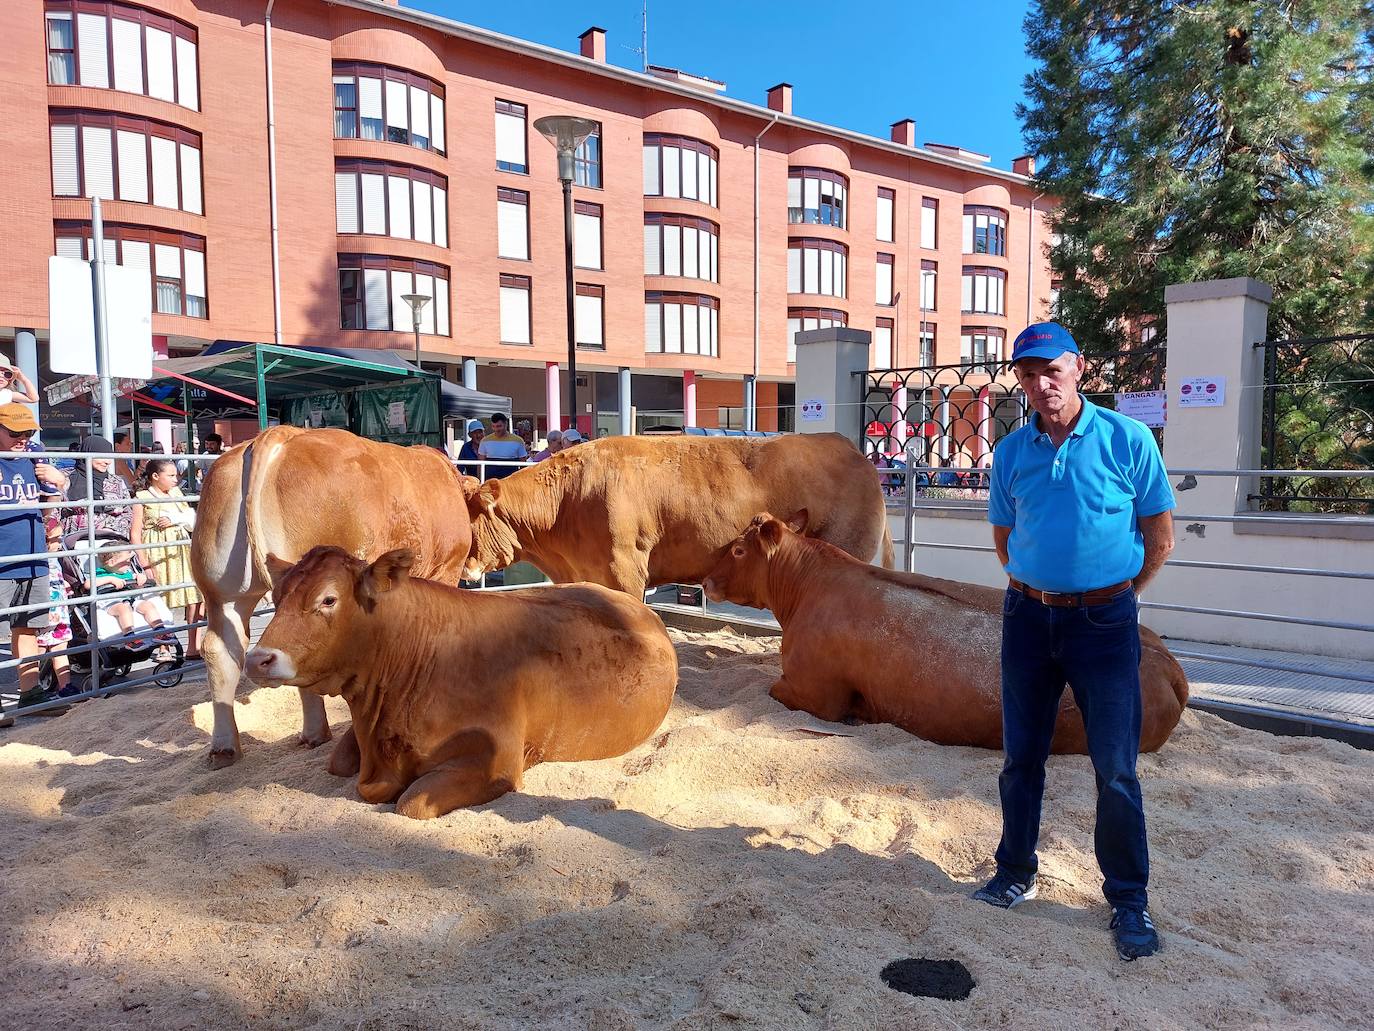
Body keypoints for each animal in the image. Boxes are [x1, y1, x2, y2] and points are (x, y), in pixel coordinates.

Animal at [190, 426, 472, 768]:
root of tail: (276, 436)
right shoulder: (446, 569)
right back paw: (318, 733)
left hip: (223, 594)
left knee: (221, 651)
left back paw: (226, 747)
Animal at [243, 546, 678, 819]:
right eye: (277, 596)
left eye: (328, 599)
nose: (256, 659)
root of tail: (641, 609)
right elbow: (340, 764)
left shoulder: (496, 761)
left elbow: (411, 802)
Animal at [702, 513, 1189, 754]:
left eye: (740, 549)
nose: (704, 580)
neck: (810, 583)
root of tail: (1168, 662)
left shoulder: (816, 693)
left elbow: (772, 689)